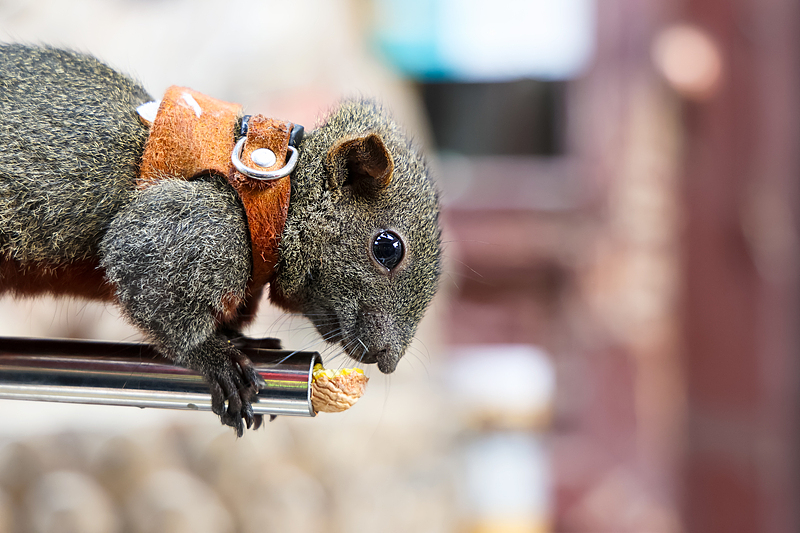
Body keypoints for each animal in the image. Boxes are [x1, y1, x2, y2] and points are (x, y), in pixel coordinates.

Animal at [0, 43, 440, 434]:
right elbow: (144, 275)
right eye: (387, 248)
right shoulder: (200, 228)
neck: (274, 195)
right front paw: (213, 356)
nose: (389, 360)